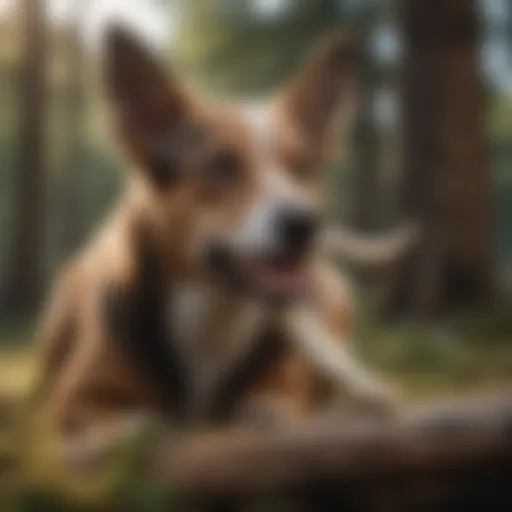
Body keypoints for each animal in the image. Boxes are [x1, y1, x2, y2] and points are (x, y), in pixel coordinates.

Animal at [32, 25, 408, 460]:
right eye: (221, 165)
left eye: (303, 166)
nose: (305, 225)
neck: (213, 311)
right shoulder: (74, 400)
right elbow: (141, 426)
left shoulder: (282, 392)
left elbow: (271, 412)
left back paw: (369, 397)